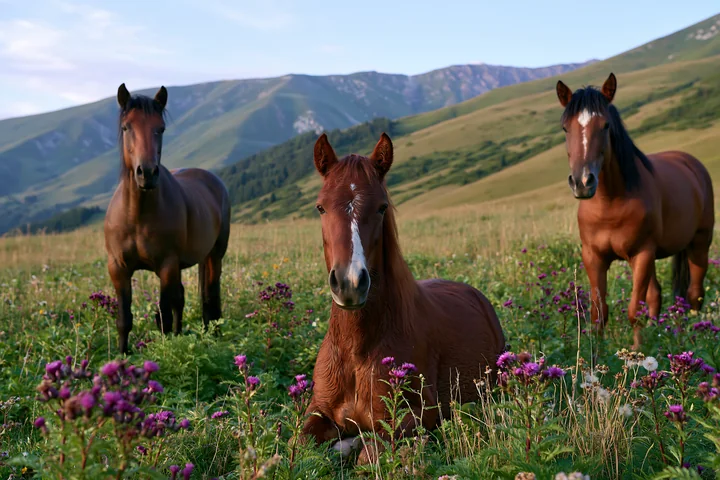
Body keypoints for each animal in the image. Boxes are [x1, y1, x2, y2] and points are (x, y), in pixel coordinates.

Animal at [104, 83, 231, 354]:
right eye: (126, 127)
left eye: (160, 128)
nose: (147, 173)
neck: (136, 216)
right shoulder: (118, 268)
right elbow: (124, 319)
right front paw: (122, 357)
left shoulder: (166, 265)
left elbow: (162, 316)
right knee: (181, 300)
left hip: (214, 255)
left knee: (210, 296)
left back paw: (213, 335)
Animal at [301, 132, 507, 463]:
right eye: (320, 207)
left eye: (382, 207)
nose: (349, 282)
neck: (356, 349)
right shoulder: (317, 411)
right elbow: (296, 446)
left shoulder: (417, 415)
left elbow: (369, 455)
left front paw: (351, 445)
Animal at [555, 72, 714, 350]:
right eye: (566, 128)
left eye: (605, 126)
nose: (582, 182)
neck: (609, 204)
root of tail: (692, 163)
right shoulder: (594, 257)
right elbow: (599, 313)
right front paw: (596, 357)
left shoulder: (641, 254)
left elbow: (634, 312)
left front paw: (637, 354)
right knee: (656, 295)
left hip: (698, 244)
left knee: (694, 293)